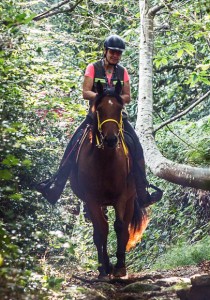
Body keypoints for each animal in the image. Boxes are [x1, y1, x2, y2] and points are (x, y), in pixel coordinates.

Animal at [69, 80, 148, 278]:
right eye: (99, 109)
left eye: (119, 109)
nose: (111, 140)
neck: (105, 161)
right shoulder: (91, 199)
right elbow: (101, 231)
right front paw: (104, 268)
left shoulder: (122, 196)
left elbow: (119, 227)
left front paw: (119, 266)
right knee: (101, 227)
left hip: (130, 199)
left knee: (124, 227)